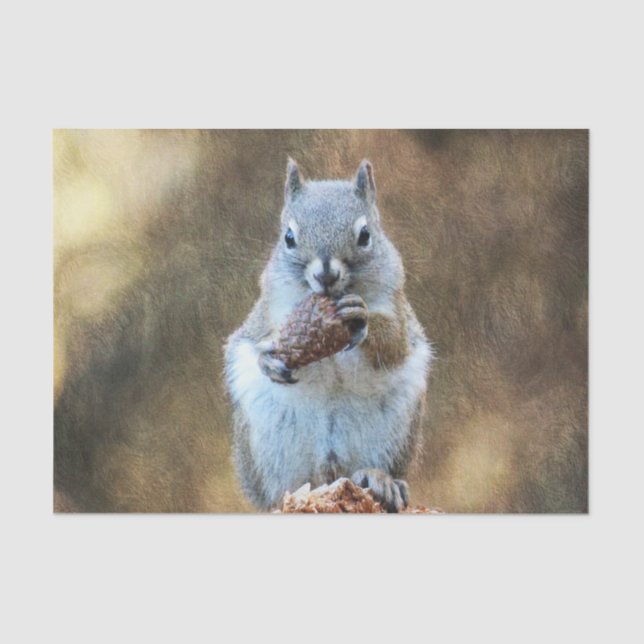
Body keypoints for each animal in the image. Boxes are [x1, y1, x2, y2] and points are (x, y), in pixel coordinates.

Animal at [223, 159, 432, 512]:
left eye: (365, 235)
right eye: (288, 237)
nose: (325, 274)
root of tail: (329, 472)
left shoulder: (398, 309)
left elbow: (394, 344)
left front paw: (361, 318)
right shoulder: (266, 313)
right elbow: (252, 338)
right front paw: (269, 360)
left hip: (395, 428)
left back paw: (381, 480)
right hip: (268, 441)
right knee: (285, 487)